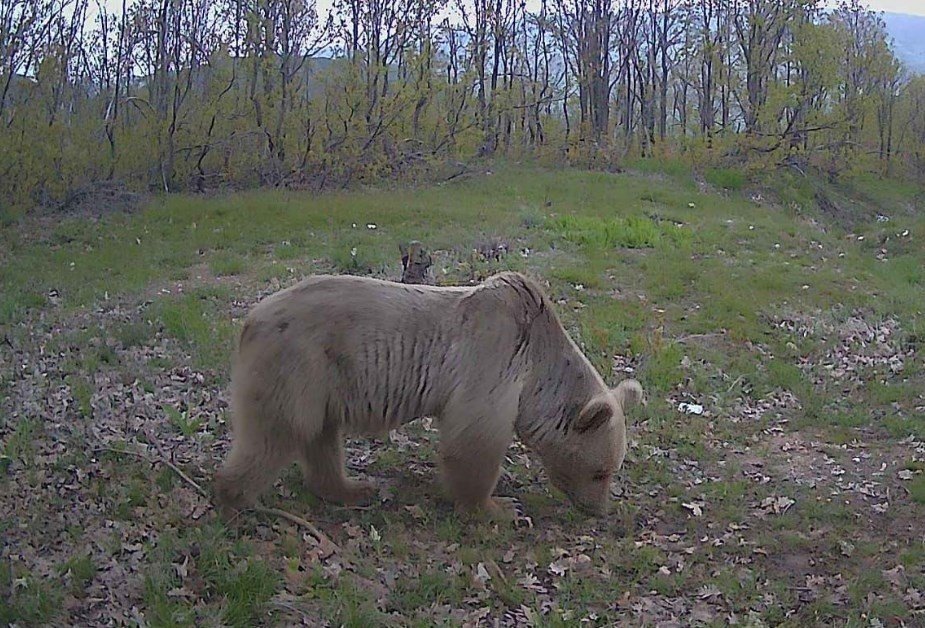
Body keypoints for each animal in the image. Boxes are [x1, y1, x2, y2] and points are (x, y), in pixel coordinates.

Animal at [214, 272, 644, 516]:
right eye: (600, 471)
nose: (598, 510)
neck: (537, 368)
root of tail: (250, 318)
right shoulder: (492, 356)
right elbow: (475, 439)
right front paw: (496, 508)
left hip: (324, 380)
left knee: (320, 436)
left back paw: (351, 489)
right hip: (298, 362)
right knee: (277, 431)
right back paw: (238, 497)